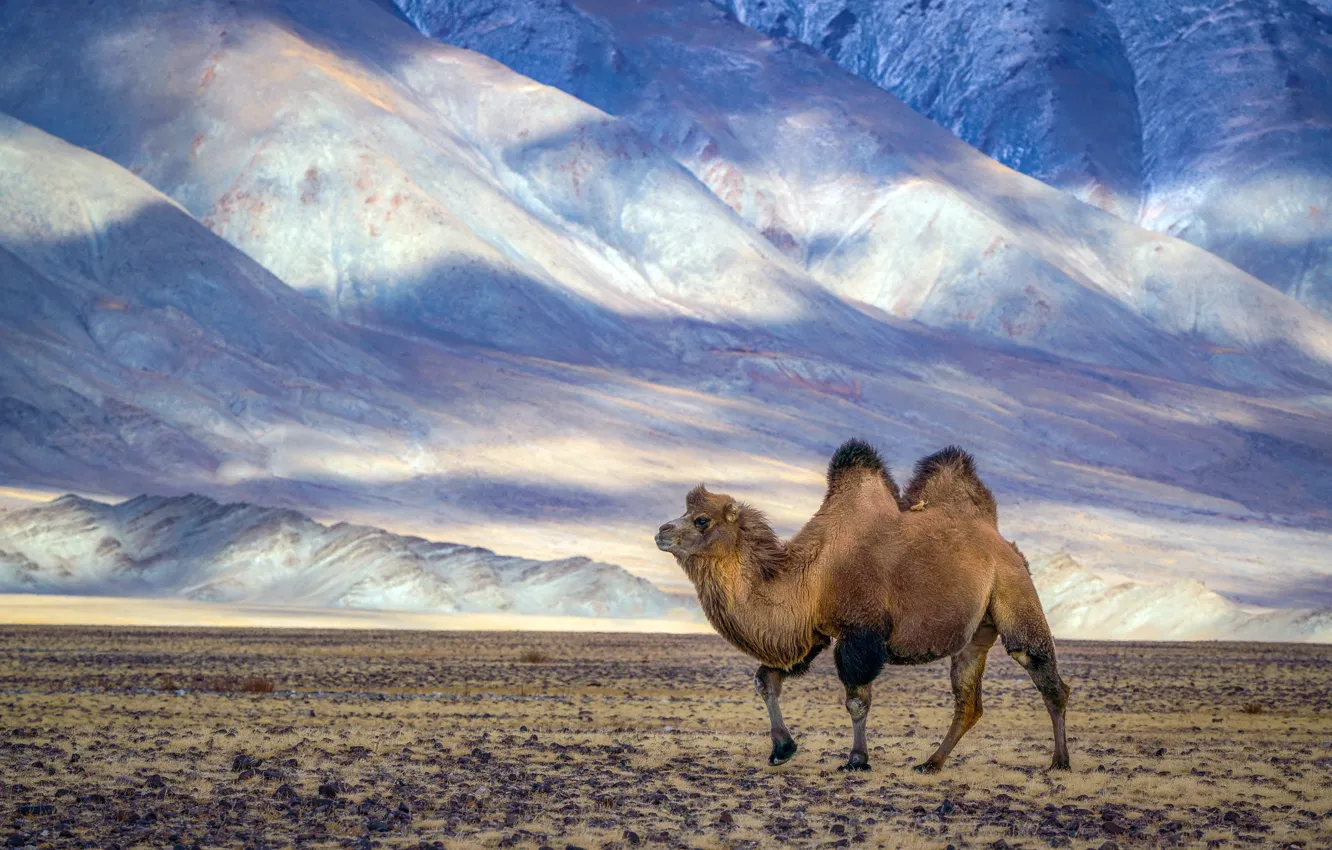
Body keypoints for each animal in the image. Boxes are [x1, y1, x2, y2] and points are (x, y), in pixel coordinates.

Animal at [654, 440, 1069, 773]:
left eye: (701, 520)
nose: (661, 531)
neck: (814, 574)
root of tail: (1002, 542)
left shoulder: (862, 632)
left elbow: (856, 700)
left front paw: (857, 759)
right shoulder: (813, 632)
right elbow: (766, 679)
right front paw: (782, 749)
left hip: (1014, 589)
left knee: (1043, 673)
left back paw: (1059, 762)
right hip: (976, 631)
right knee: (968, 701)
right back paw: (931, 763)